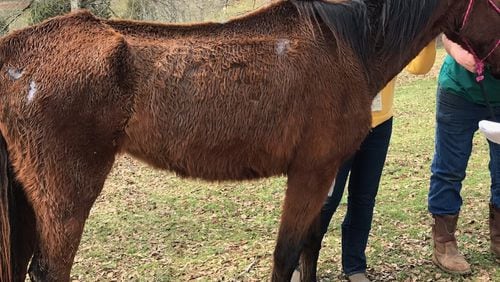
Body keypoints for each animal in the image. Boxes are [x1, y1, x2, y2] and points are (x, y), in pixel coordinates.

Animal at [0, 0, 498, 280]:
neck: (349, 47)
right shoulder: (310, 172)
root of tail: (15, 50)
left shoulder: (325, 174)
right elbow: (286, 256)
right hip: (65, 196)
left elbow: (310, 247)